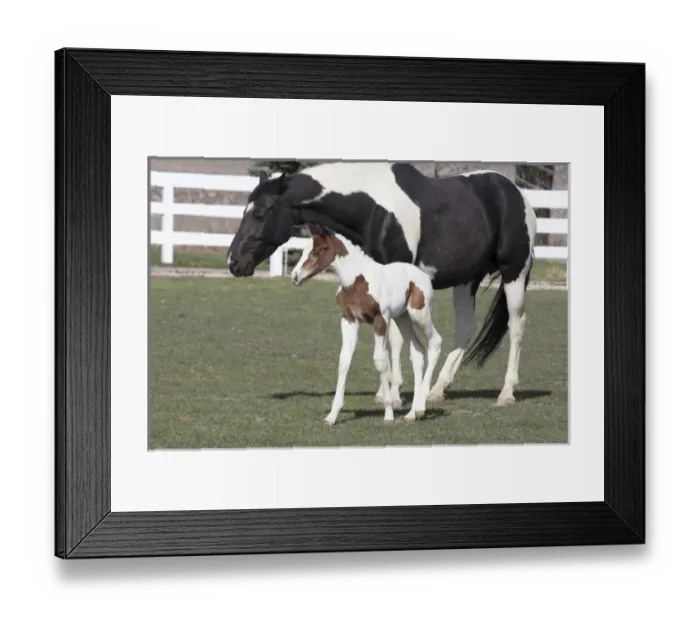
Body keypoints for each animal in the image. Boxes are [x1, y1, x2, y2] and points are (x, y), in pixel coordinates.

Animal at [290, 222, 443, 426]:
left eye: (317, 251)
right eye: (305, 250)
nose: (295, 276)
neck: (357, 282)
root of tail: (424, 276)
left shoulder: (380, 320)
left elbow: (380, 361)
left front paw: (388, 413)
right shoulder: (349, 320)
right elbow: (344, 361)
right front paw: (332, 416)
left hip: (420, 315)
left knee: (436, 342)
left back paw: (420, 406)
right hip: (402, 318)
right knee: (417, 351)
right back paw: (413, 413)